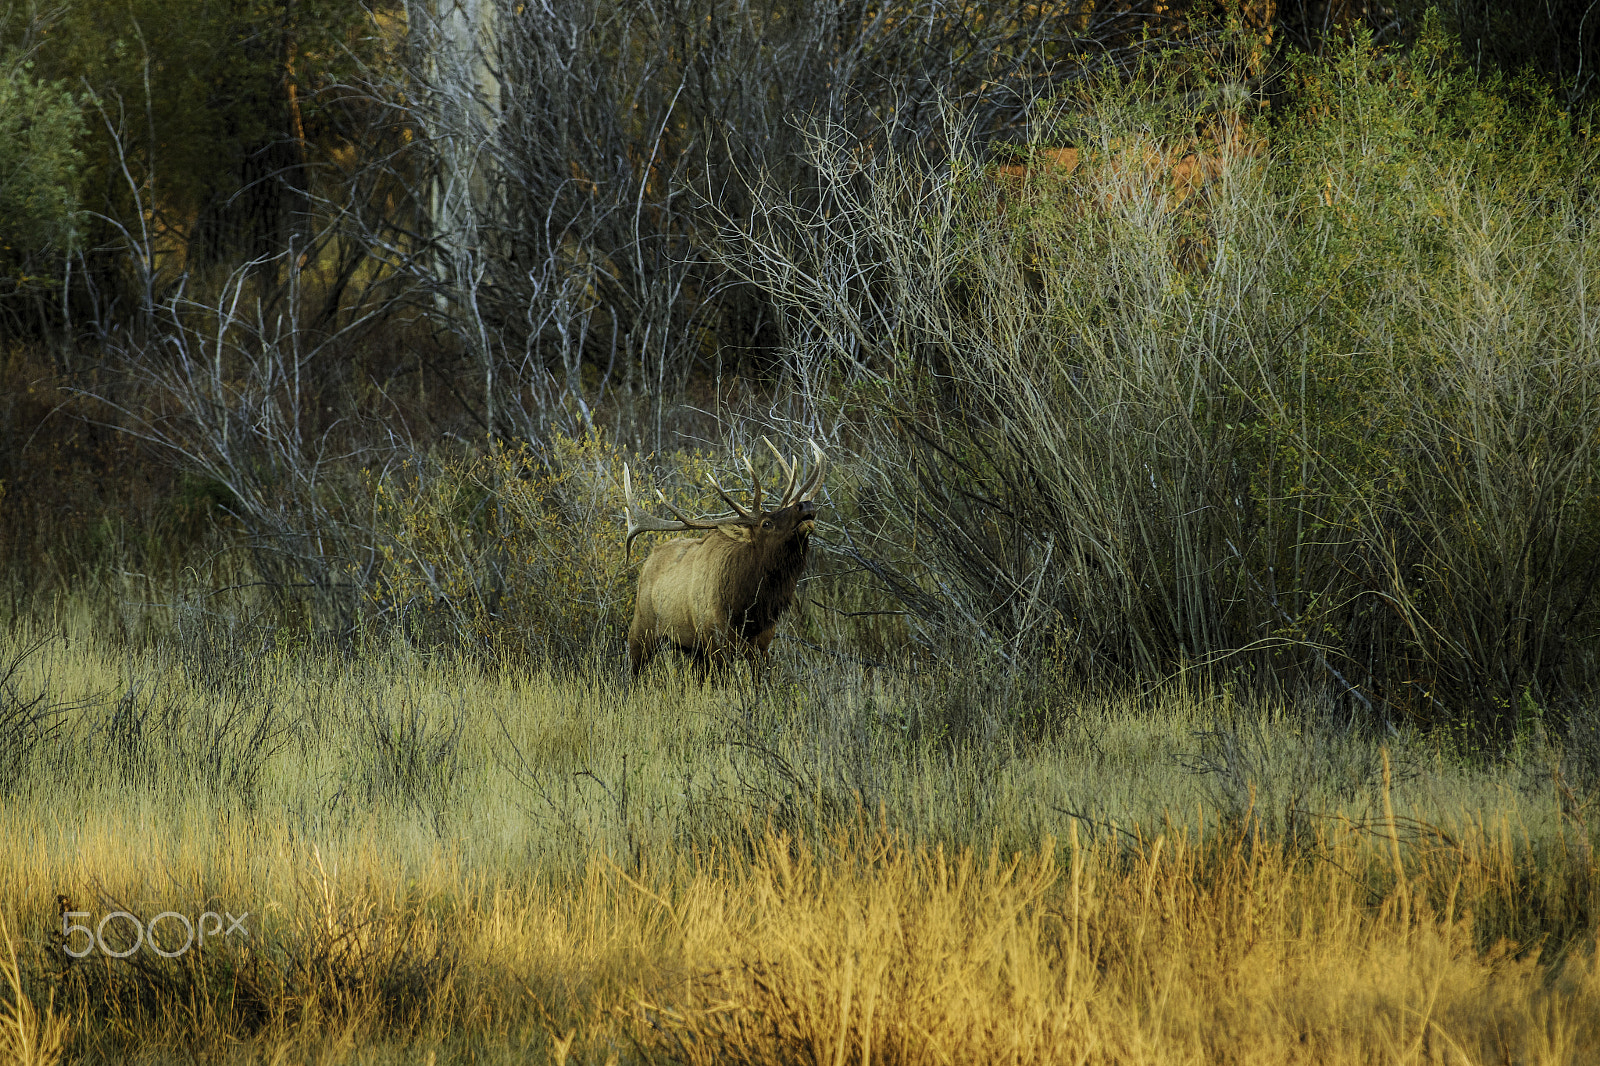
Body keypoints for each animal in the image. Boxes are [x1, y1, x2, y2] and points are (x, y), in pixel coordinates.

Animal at [620, 438, 832, 672]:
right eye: (766, 523)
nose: (805, 505)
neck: (747, 608)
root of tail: (648, 560)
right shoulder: (716, 641)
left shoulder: (762, 645)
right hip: (641, 630)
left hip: (693, 648)